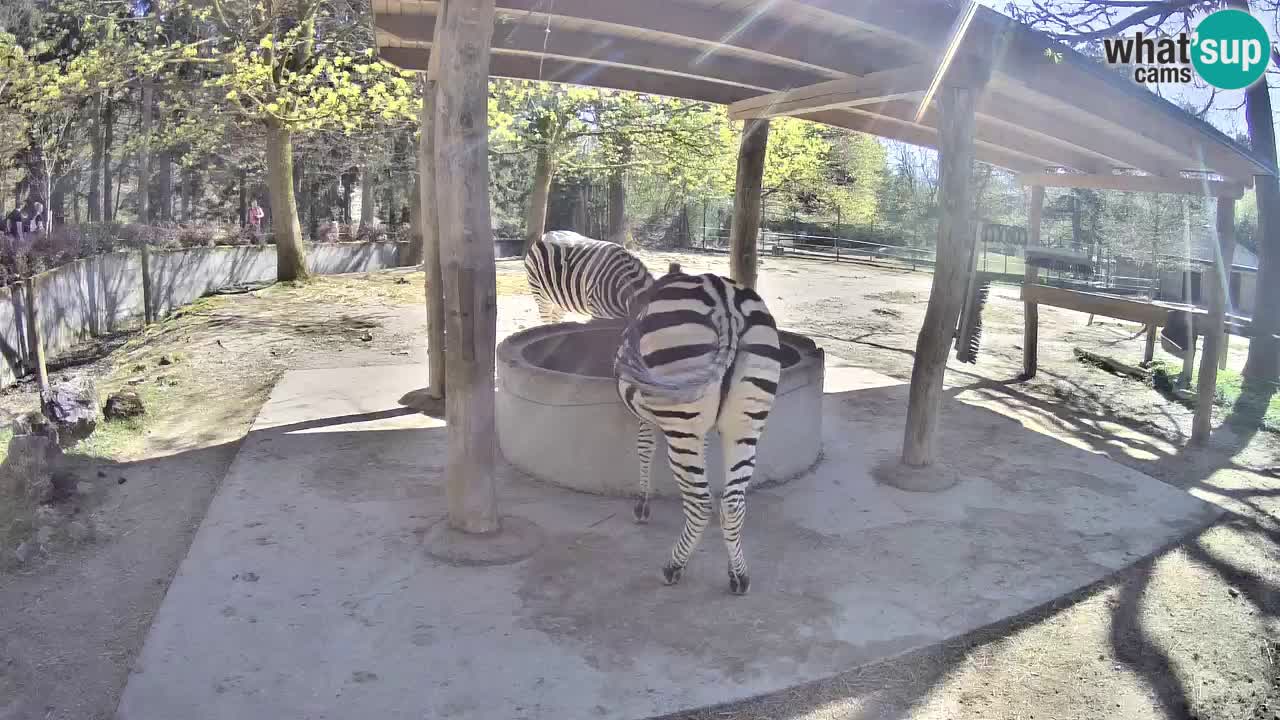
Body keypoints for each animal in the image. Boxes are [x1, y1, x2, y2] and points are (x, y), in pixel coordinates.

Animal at [615, 272, 782, 595]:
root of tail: (725, 304)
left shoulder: (646, 413)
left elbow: (644, 448)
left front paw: (642, 506)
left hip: (681, 419)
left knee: (701, 503)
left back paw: (673, 567)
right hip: (744, 426)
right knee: (732, 504)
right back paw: (739, 575)